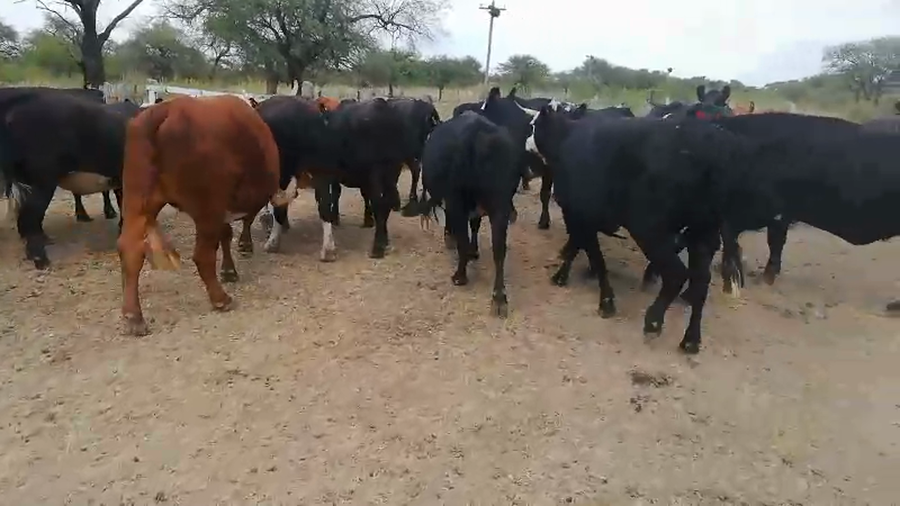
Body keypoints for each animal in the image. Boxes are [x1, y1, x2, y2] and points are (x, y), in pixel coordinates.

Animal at [117, 95, 298, 336]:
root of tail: (166, 110)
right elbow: (241, 223)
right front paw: (242, 249)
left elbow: (227, 233)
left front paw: (229, 269)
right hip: (206, 210)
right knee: (202, 255)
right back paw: (220, 299)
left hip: (137, 202)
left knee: (131, 249)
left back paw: (133, 316)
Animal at [416, 111, 519, 317]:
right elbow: (475, 226)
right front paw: (474, 249)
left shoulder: (453, 201)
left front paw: (451, 238)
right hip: (500, 205)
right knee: (499, 249)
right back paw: (499, 298)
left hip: (458, 200)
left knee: (464, 237)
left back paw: (459, 276)